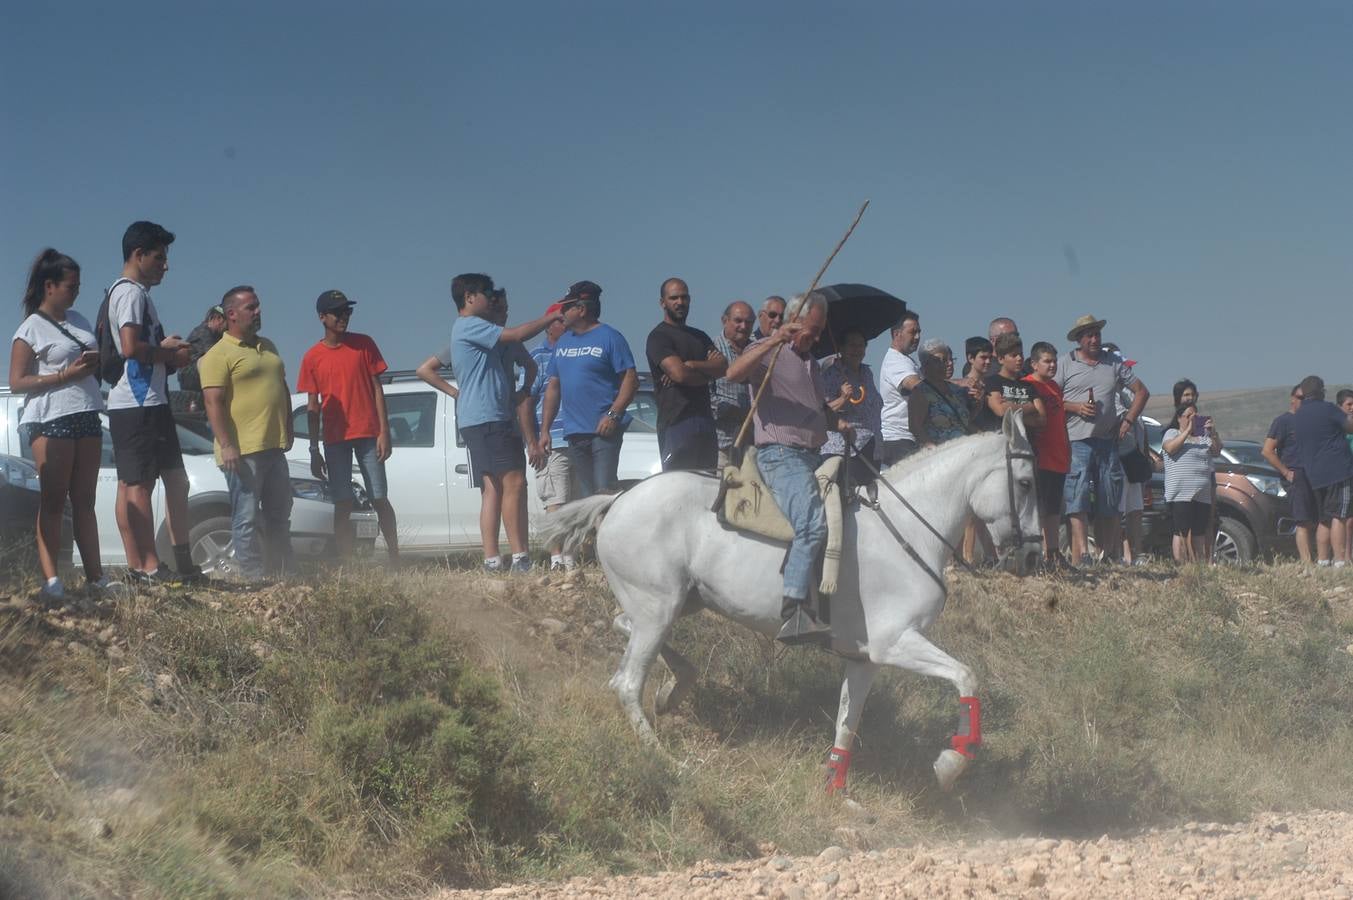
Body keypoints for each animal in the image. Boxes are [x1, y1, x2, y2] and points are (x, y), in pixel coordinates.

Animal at [538, 411, 1044, 790]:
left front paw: (835, 790)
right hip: (658, 607)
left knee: (624, 625)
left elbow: (847, 722)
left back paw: (674, 687)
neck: (907, 529)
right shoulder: (896, 642)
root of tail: (618, 499)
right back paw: (666, 759)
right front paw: (951, 763)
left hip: (675, 602)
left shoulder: (865, 659)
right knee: (626, 682)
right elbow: (966, 676)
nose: (1034, 555)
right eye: (1024, 483)